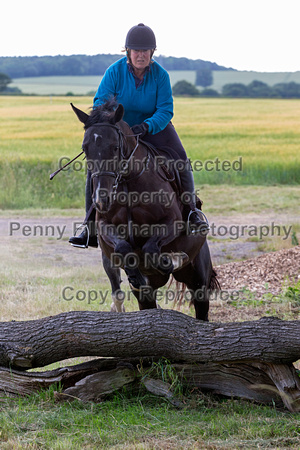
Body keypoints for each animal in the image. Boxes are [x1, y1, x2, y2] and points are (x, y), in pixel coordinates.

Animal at [71, 100, 219, 318]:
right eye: (85, 148)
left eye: (115, 147)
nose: (102, 199)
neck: (128, 183)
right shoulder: (105, 226)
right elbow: (123, 248)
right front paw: (135, 274)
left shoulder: (172, 222)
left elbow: (151, 249)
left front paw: (172, 259)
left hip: (198, 278)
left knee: (201, 307)